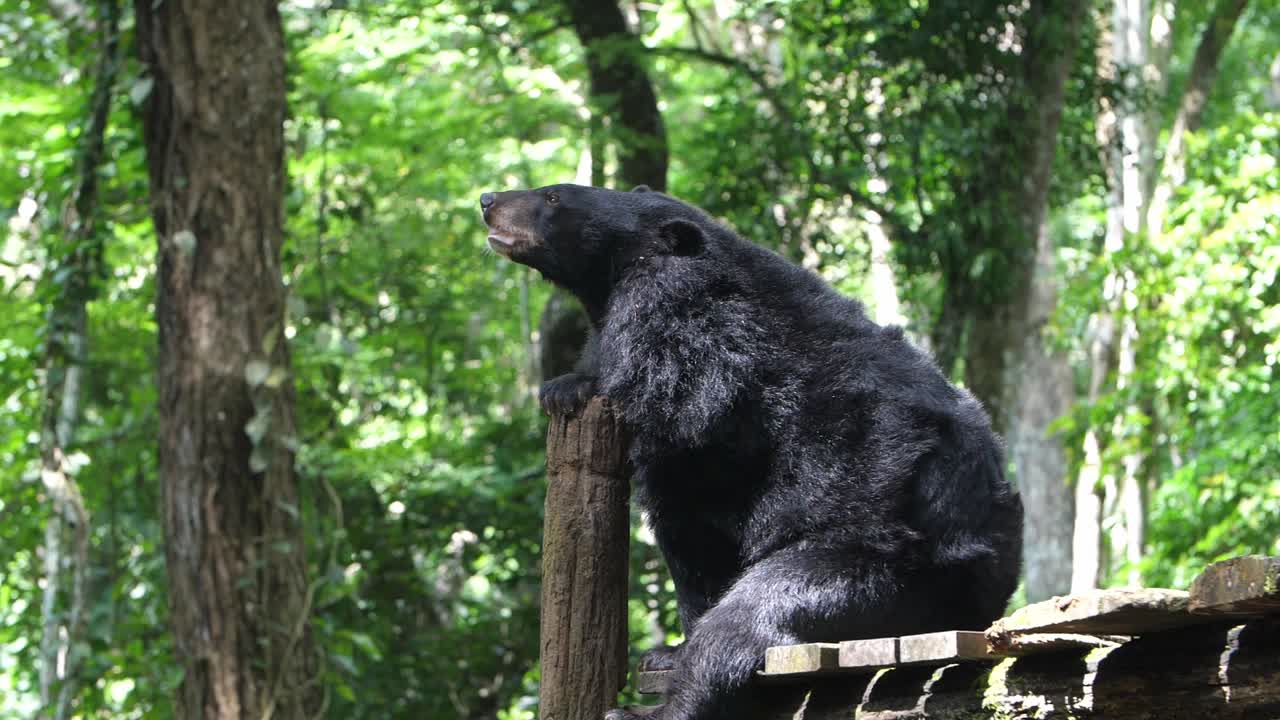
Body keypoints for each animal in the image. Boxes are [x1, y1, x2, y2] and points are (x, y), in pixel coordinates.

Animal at [479, 184, 1023, 720]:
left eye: (553, 198)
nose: (487, 200)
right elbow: (691, 536)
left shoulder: (690, 345)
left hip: (888, 566)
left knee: (751, 615)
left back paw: (649, 710)